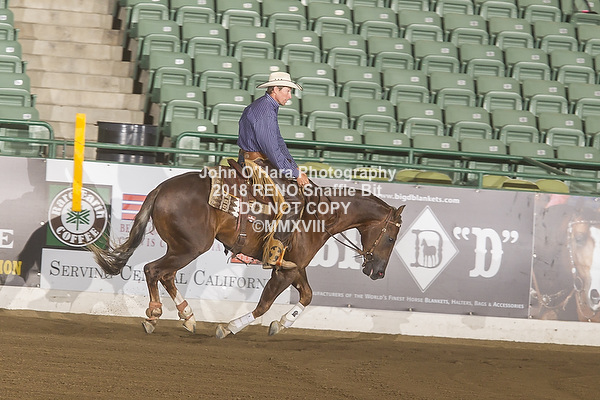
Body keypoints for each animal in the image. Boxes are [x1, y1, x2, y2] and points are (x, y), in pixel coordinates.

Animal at [89, 167, 405, 337]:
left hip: (181, 247)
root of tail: (162, 188)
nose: (378, 273)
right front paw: (230, 327)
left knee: (165, 275)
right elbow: (264, 304)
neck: (320, 215)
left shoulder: (293, 267)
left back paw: (188, 317)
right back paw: (155, 315)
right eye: (391, 238)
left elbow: (307, 296)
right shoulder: (285, 271)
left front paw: (282, 324)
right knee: (153, 270)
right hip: (190, 247)